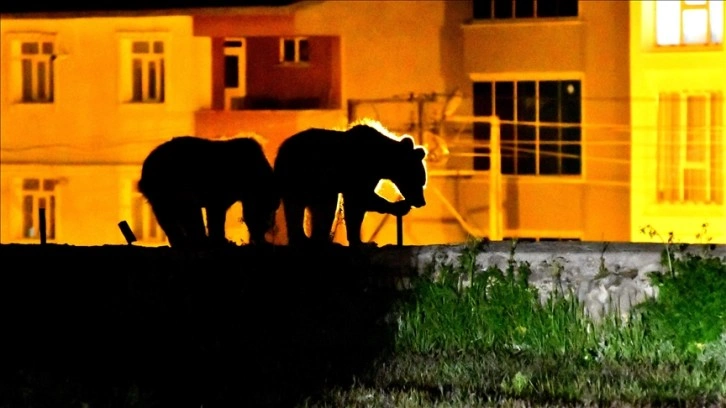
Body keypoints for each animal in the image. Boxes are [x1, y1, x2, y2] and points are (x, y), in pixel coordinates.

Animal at [138, 135, 280, 249]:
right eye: (268, 210)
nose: (266, 230)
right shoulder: (220, 188)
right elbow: (216, 213)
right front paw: (220, 240)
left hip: (160, 192)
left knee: (166, 216)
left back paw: (182, 242)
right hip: (172, 182)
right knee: (187, 209)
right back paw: (198, 241)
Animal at [276, 119, 430, 247]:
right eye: (420, 181)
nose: (421, 202)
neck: (381, 161)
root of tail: (281, 153)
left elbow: (356, 208)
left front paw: (359, 241)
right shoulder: (358, 171)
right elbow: (359, 198)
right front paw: (399, 206)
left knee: (297, 208)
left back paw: (305, 239)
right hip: (309, 176)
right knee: (324, 205)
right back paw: (321, 241)